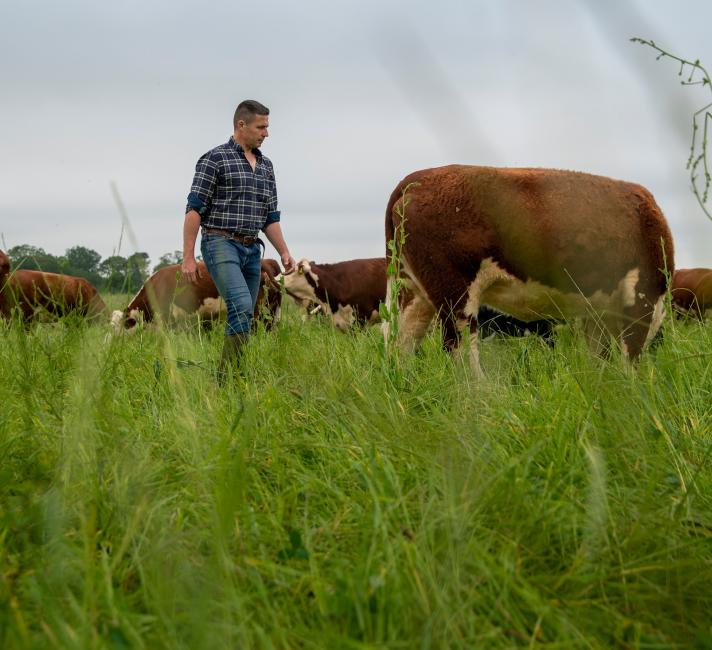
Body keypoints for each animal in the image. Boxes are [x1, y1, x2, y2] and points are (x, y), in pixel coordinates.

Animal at [386, 165, 676, 372]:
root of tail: (417, 179)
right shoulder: (642, 298)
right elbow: (630, 360)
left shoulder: (597, 315)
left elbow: (600, 361)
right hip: (456, 295)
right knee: (461, 353)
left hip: (413, 291)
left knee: (402, 345)